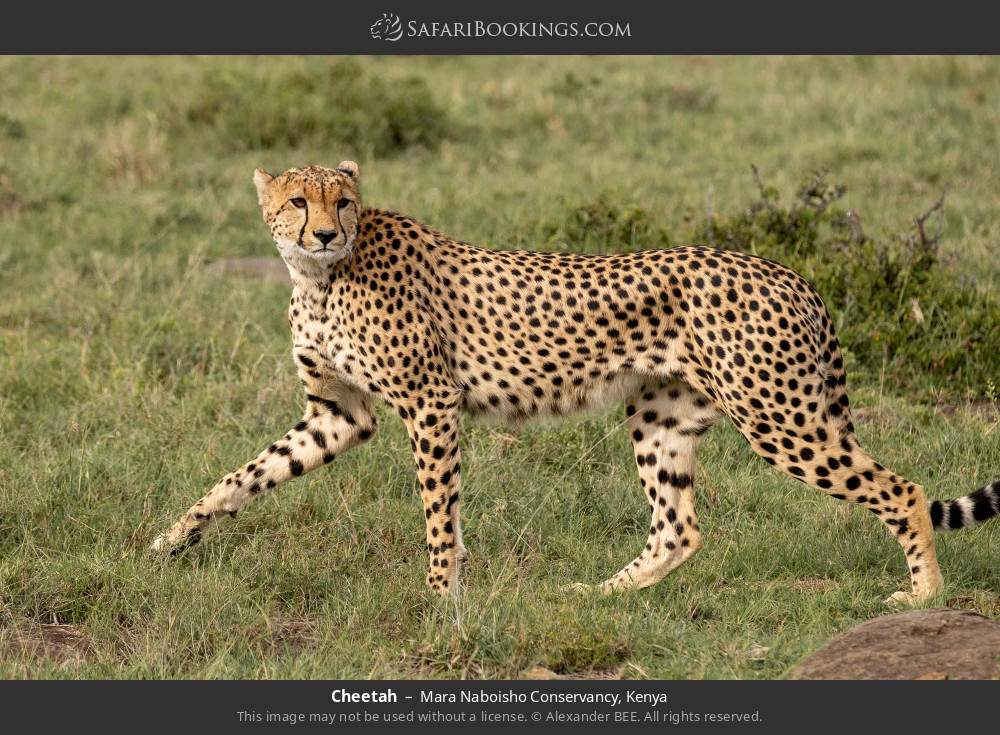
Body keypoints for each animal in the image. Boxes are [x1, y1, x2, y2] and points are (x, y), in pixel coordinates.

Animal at [150, 162, 1000, 604]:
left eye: (344, 200)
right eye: (298, 200)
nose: (326, 231)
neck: (319, 277)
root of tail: (790, 270)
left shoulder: (430, 404)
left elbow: (438, 511)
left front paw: (440, 595)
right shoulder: (338, 413)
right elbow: (244, 474)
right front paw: (175, 535)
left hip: (778, 416)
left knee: (901, 487)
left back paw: (924, 593)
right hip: (662, 415)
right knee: (679, 526)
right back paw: (604, 594)